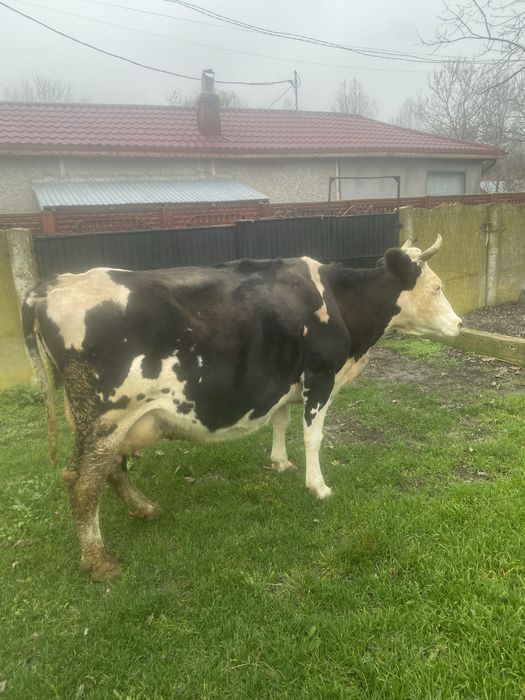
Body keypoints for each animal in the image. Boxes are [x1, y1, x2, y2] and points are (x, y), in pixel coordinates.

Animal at [22, 235, 461, 581]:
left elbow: (281, 421)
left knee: (109, 468)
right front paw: (318, 486)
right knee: (82, 480)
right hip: (104, 415)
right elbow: (313, 436)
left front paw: (280, 462)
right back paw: (98, 561)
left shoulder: (286, 377)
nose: (459, 325)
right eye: (438, 287)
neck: (340, 303)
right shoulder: (320, 376)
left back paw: (143, 509)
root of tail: (51, 286)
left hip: (101, 419)